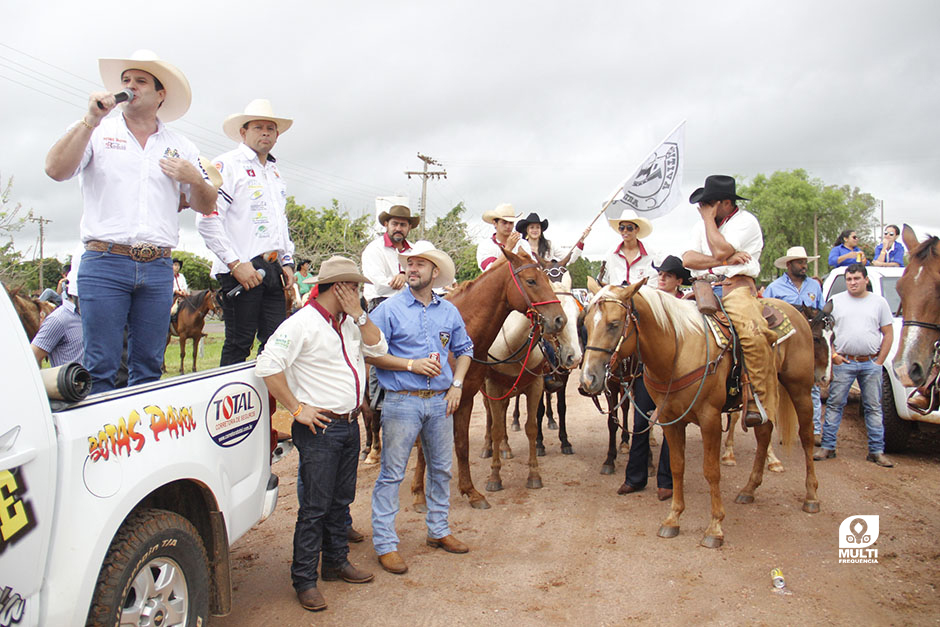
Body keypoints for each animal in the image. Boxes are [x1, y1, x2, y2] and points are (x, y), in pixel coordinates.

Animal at [410, 248, 564, 512]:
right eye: (531, 281)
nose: (559, 320)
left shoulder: (465, 399)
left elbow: (462, 445)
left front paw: (471, 492)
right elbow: (424, 446)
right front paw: (419, 495)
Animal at [482, 278, 584, 494]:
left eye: (578, 315)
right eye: (560, 320)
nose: (575, 357)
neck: (513, 345)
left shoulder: (541, 383)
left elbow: (553, 412)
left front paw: (563, 442)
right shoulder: (494, 385)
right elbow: (501, 423)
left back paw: (506, 446)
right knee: (490, 413)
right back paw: (489, 446)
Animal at [576, 282, 820, 548]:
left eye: (614, 324)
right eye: (585, 324)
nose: (588, 380)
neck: (677, 351)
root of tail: (796, 312)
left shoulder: (709, 418)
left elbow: (711, 471)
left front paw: (714, 528)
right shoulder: (670, 419)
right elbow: (677, 466)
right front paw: (673, 519)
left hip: (800, 389)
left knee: (806, 436)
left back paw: (811, 496)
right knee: (764, 432)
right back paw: (749, 489)